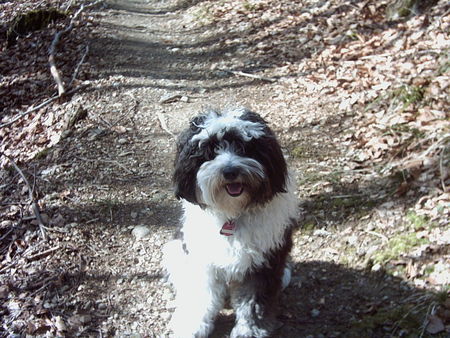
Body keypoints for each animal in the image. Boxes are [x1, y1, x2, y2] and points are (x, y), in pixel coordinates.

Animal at [163, 108, 298, 338]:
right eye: (210, 151)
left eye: (244, 147)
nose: (230, 171)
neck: (232, 215)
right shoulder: (202, 261)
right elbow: (201, 294)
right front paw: (192, 323)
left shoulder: (262, 263)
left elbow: (253, 302)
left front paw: (250, 331)